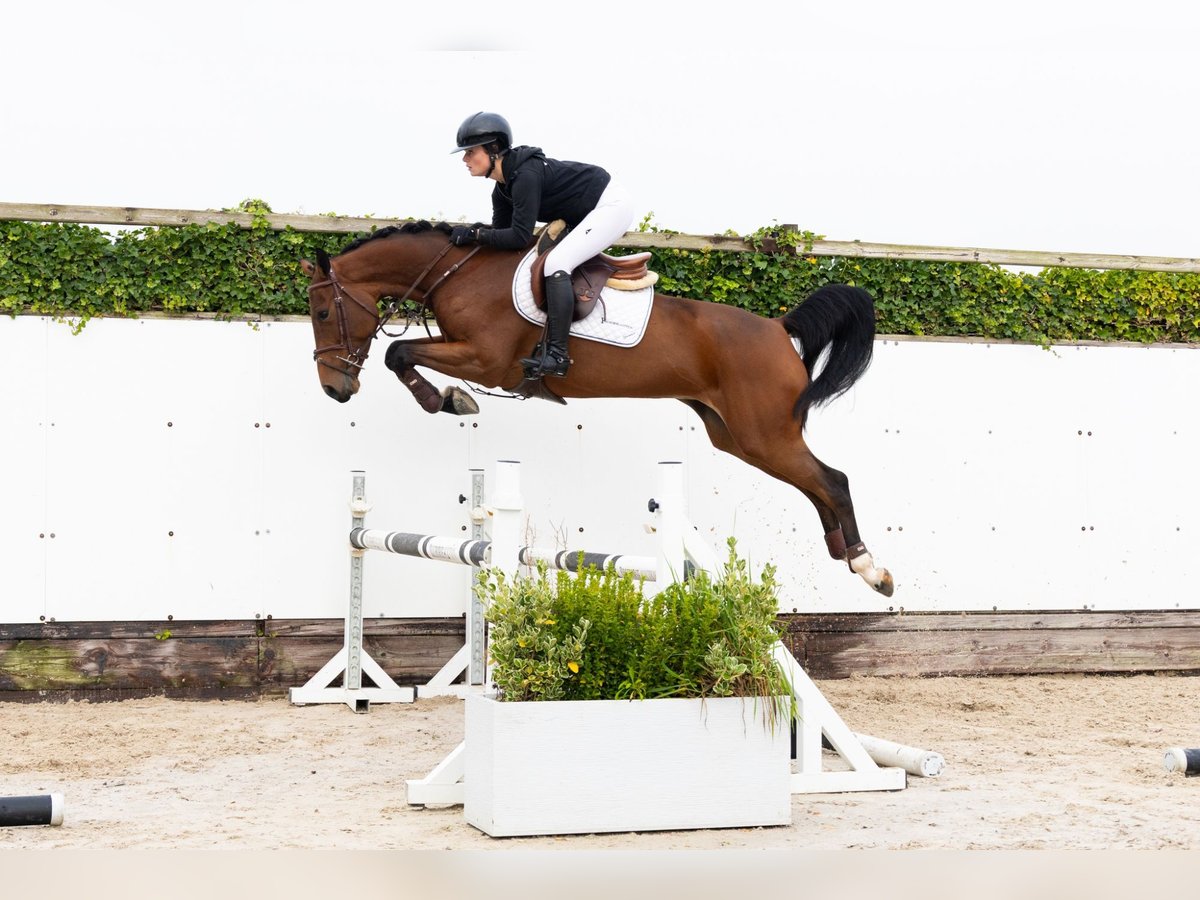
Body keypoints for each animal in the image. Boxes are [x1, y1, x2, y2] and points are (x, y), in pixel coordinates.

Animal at [301, 221, 893, 597]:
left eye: (324, 311)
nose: (333, 389)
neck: (459, 272)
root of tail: (777, 326)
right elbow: (401, 354)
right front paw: (447, 398)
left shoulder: (487, 360)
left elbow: (398, 352)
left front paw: (446, 399)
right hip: (738, 437)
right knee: (816, 483)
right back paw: (844, 551)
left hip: (764, 434)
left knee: (832, 479)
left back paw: (871, 568)